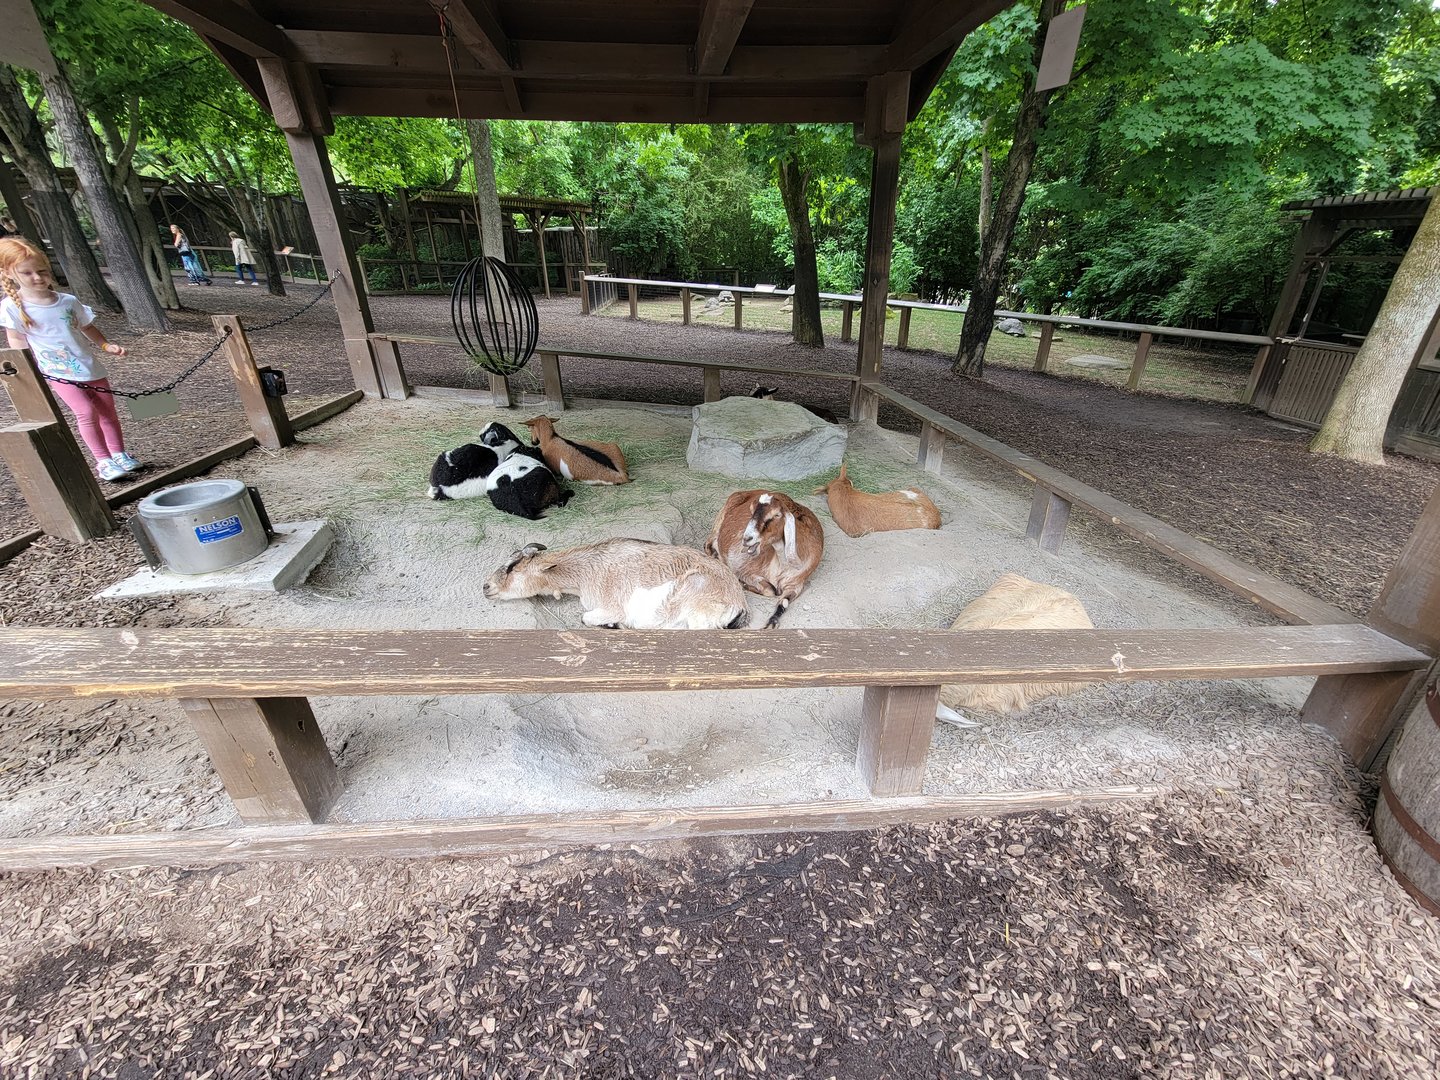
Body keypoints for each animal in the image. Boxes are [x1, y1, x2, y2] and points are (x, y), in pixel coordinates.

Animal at [483, 539, 750, 629]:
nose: (486, 587)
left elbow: (586, 618)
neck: (589, 571)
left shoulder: (612, 606)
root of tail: (739, 602)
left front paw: (612, 624)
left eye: (512, 567)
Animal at [704, 490, 824, 629]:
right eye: (752, 511)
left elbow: (783, 602)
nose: (747, 538)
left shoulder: (796, 584)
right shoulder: (744, 571)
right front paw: (743, 584)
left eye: (777, 515)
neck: (781, 566)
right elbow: (770, 590)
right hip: (719, 523)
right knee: (708, 544)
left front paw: (771, 623)